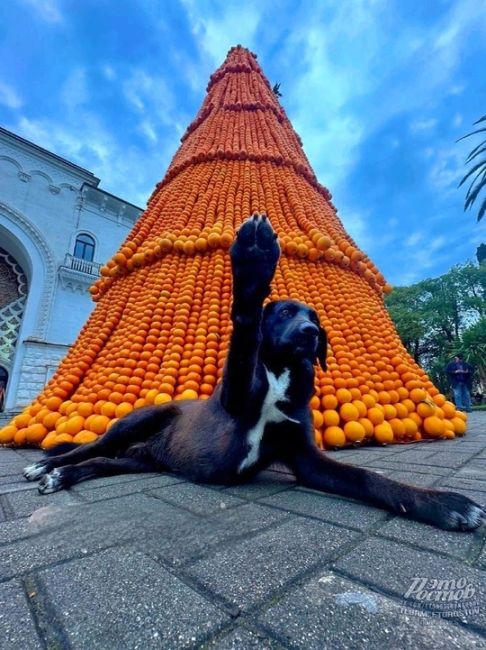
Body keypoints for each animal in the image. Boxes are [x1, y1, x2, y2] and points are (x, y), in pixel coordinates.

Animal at [24, 215, 484, 528]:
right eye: (284, 313)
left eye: (315, 318)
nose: (310, 334)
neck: (280, 373)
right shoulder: (234, 397)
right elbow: (244, 333)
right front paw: (254, 262)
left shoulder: (308, 460)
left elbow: (369, 478)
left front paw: (443, 504)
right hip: (134, 422)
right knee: (87, 448)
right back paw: (46, 468)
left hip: (142, 461)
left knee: (100, 463)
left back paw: (63, 475)